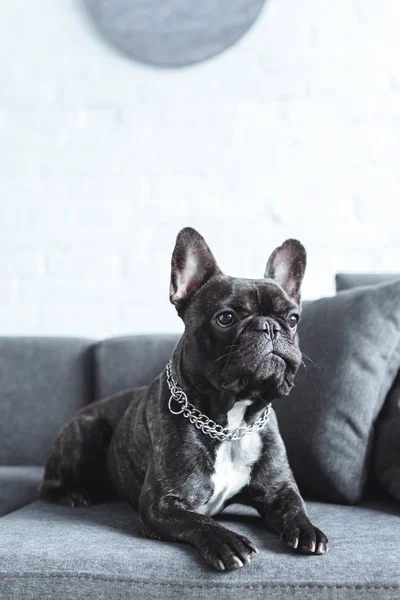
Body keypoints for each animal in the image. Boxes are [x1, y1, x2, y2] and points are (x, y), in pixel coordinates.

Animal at [40, 227, 328, 568]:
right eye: (226, 317)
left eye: (293, 318)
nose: (268, 325)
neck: (231, 423)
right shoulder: (161, 504)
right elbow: (199, 521)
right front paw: (226, 540)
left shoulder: (278, 489)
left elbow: (295, 506)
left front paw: (307, 528)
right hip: (86, 430)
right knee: (48, 486)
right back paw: (75, 494)